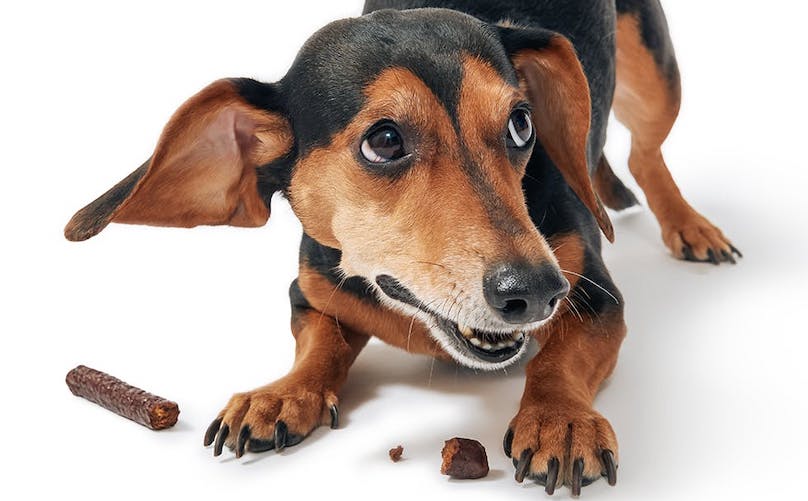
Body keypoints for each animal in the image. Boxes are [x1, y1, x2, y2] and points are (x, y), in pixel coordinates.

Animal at [64, 0, 740, 492]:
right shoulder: (310, 290)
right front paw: (282, 393)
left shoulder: (597, 298)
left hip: (654, 76)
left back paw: (688, 225)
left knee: (644, 151)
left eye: (522, 123)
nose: (538, 292)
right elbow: (321, 342)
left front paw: (560, 419)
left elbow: (560, 358)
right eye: (384, 141)